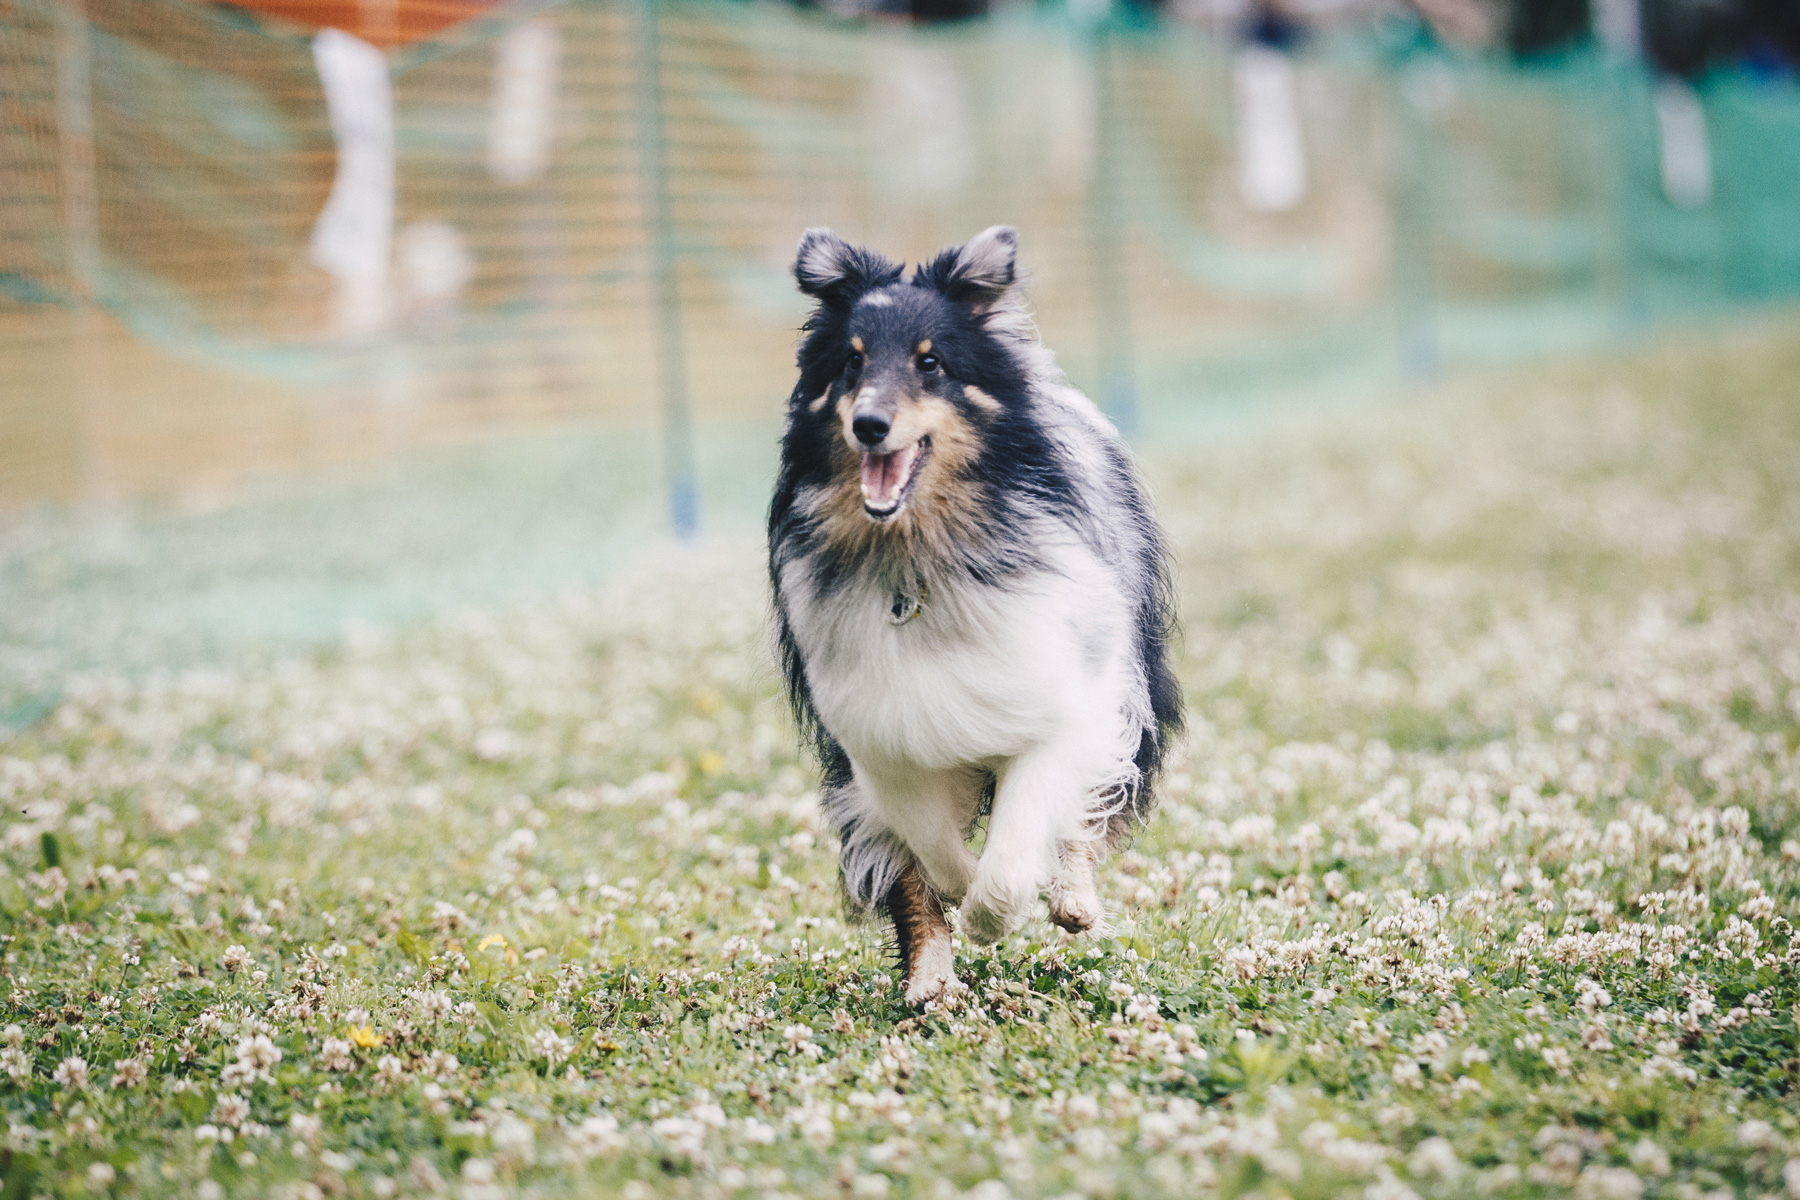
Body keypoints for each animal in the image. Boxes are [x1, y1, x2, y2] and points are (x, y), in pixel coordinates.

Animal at [770, 223, 1180, 1007]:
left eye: (931, 363)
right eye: (850, 362)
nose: (870, 425)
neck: (919, 557)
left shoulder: (1056, 700)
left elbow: (1020, 841)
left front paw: (997, 911)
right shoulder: (881, 736)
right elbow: (926, 852)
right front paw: (958, 896)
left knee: (1084, 813)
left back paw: (1070, 900)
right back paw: (929, 982)